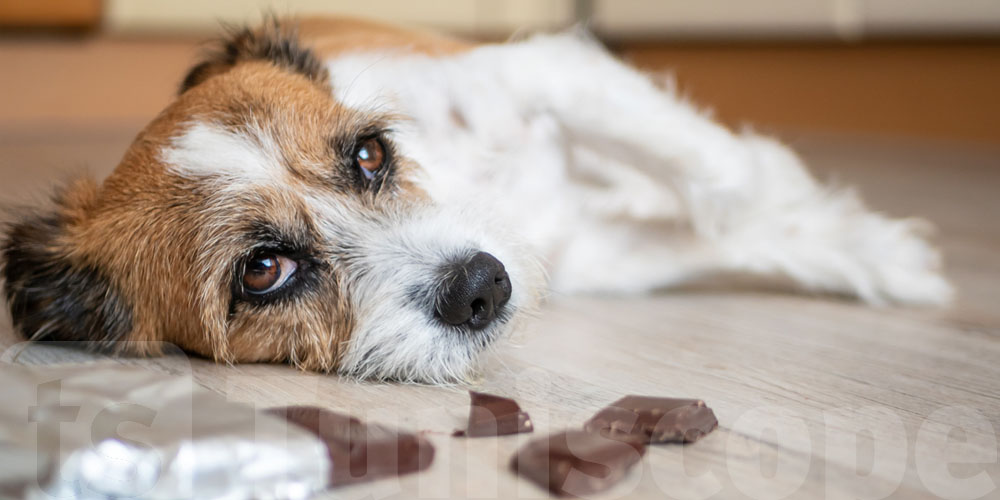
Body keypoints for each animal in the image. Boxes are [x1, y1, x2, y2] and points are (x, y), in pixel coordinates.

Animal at [1, 16, 952, 382]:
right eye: (262, 271)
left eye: (371, 154)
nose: (482, 286)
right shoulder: (600, 256)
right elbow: (722, 226)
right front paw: (867, 249)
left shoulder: (545, 72)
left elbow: (724, 180)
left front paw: (873, 248)